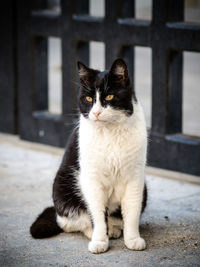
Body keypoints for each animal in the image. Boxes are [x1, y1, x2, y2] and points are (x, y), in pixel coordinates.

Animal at [30, 58, 148, 255]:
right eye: (88, 99)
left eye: (109, 97)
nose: (96, 112)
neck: (111, 132)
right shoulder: (92, 179)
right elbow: (97, 215)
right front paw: (99, 241)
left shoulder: (135, 177)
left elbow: (131, 211)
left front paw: (132, 239)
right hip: (63, 186)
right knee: (71, 222)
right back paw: (96, 233)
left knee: (116, 218)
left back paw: (114, 229)